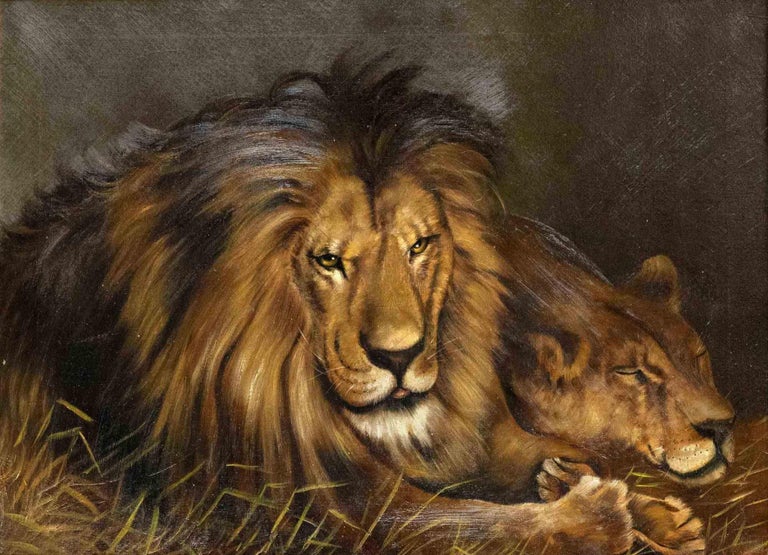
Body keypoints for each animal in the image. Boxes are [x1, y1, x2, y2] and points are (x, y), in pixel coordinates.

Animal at [0, 57, 701, 553]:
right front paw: (590, 515)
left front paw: (642, 506)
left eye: (419, 246)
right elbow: (446, 522)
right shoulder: (275, 509)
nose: (401, 357)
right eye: (328, 260)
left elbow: (531, 450)